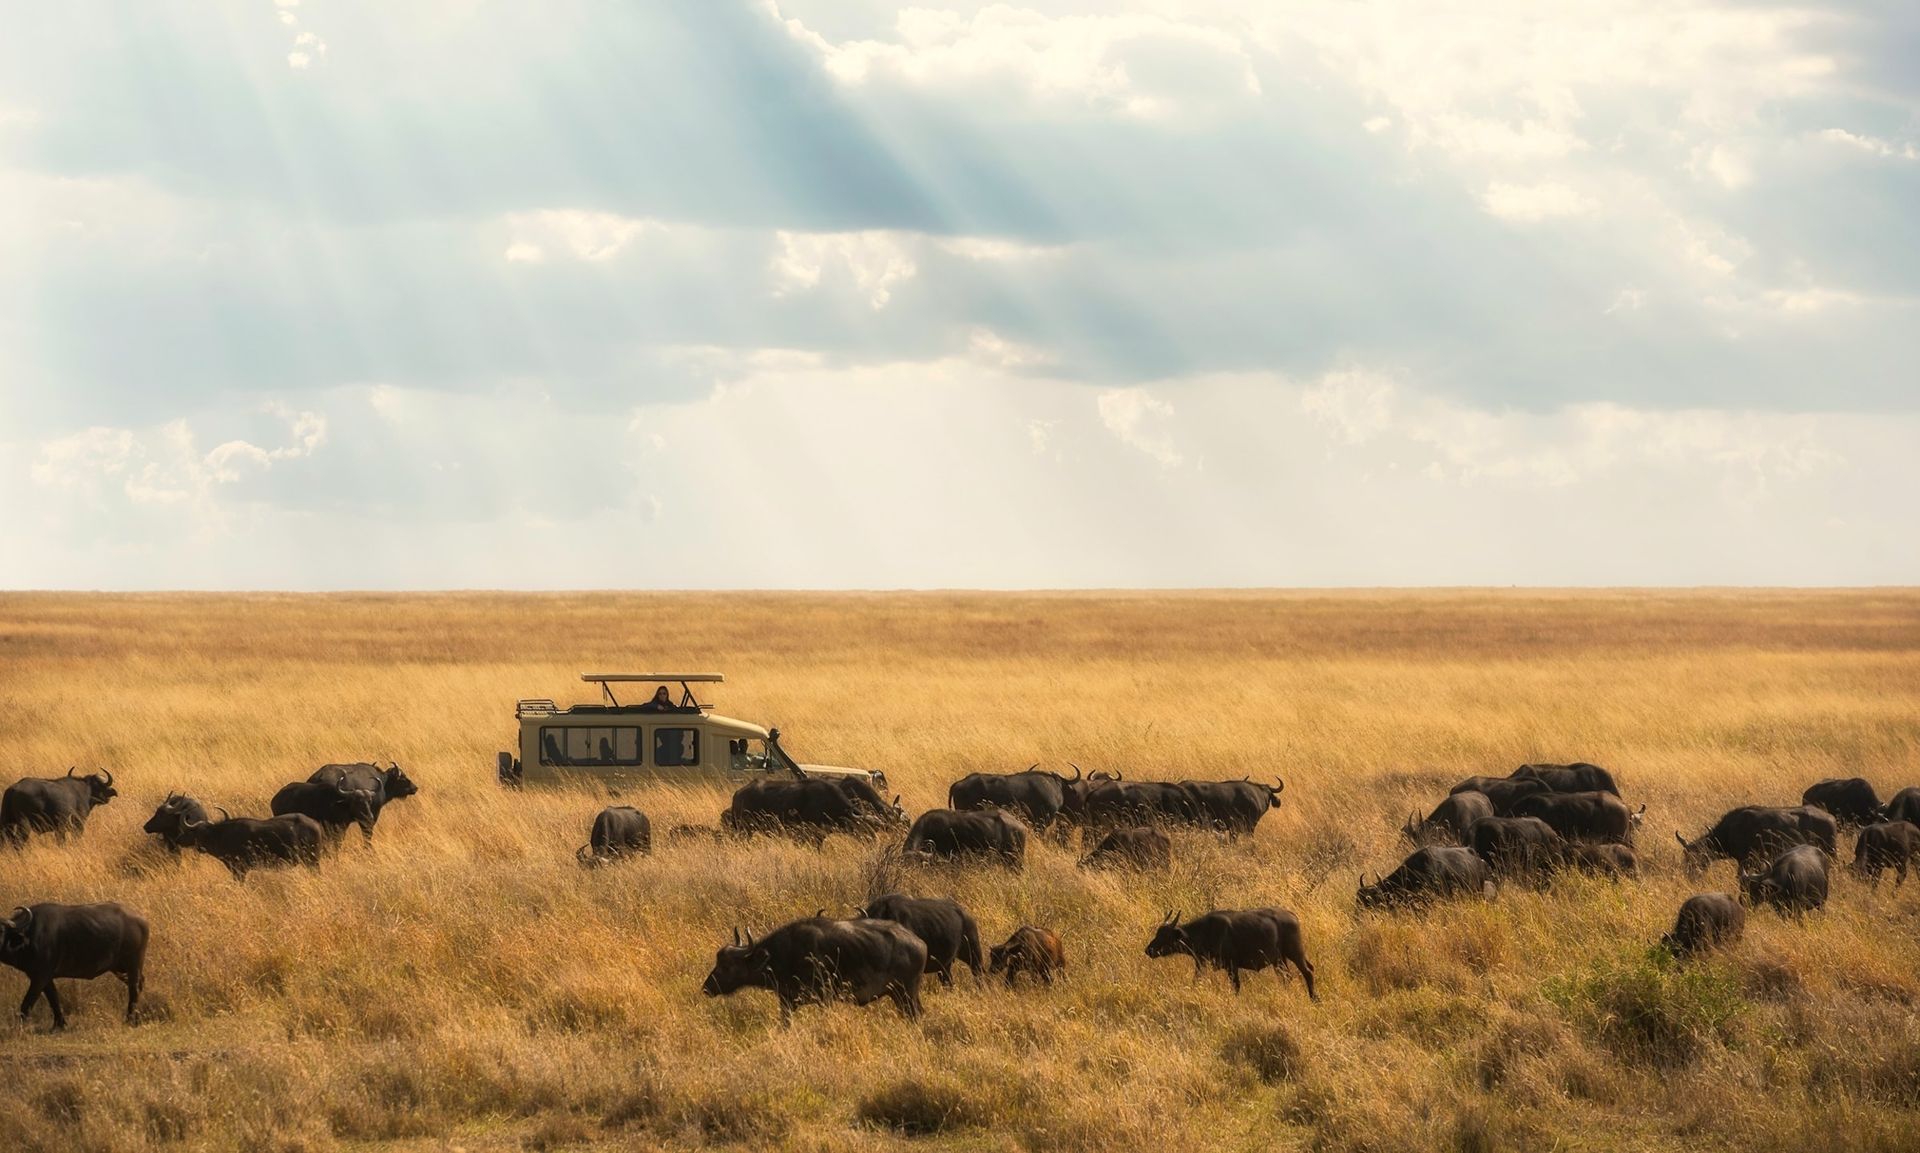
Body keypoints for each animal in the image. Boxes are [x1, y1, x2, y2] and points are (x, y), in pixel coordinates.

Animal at [1, 902, 148, 1029]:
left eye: (1, 932)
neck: (29, 936)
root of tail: (142, 921)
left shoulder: (40, 977)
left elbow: (27, 1002)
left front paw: (19, 1028)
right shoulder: (45, 978)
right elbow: (54, 999)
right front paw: (59, 1024)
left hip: (133, 964)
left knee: (134, 988)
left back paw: (129, 1019)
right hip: (119, 969)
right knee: (139, 983)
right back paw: (136, 1018)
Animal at [701, 917, 926, 1024]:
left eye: (727, 965)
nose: (706, 987)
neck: (785, 954)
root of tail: (919, 943)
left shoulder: (824, 999)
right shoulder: (787, 1002)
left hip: (906, 993)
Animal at [1145, 908, 1316, 998]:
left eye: (1165, 936)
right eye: (1157, 933)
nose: (1148, 950)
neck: (1206, 932)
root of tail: (1292, 915)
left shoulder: (1231, 966)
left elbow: (1236, 986)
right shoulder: (1201, 964)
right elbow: (1196, 980)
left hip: (1295, 953)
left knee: (1308, 972)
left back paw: (1314, 998)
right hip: (1279, 960)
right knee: (1287, 977)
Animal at [1677, 806, 1838, 876]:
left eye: (1700, 857)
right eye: (1686, 858)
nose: (1691, 876)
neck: (1730, 829)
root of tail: (1830, 818)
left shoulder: (1746, 861)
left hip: (1831, 852)